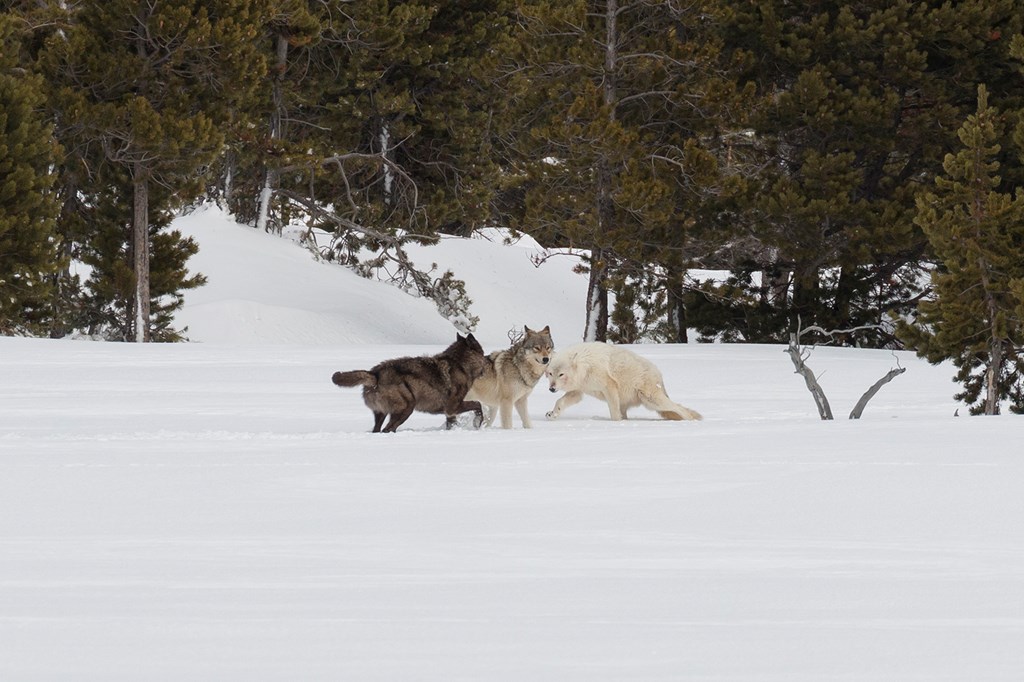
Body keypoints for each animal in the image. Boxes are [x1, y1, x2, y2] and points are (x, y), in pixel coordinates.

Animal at [329, 331, 485, 432]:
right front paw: (477, 423)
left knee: (378, 430)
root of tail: (375, 374)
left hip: (382, 414)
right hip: (407, 409)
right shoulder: (453, 406)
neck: (460, 364)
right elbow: (478, 405)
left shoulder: (450, 412)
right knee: (388, 429)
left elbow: (452, 423)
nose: (487, 362)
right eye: (483, 353)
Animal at [544, 342, 704, 421]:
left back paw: (691, 420)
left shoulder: (609, 387)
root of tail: (659, 373)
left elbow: (615, 415)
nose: (551, 389)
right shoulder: (578, 392)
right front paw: (552, 414)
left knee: (679, 409)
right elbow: (560, 402)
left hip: (652, 401)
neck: (586, 365)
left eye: (561, 374)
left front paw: (617, 425)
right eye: (551, 374)